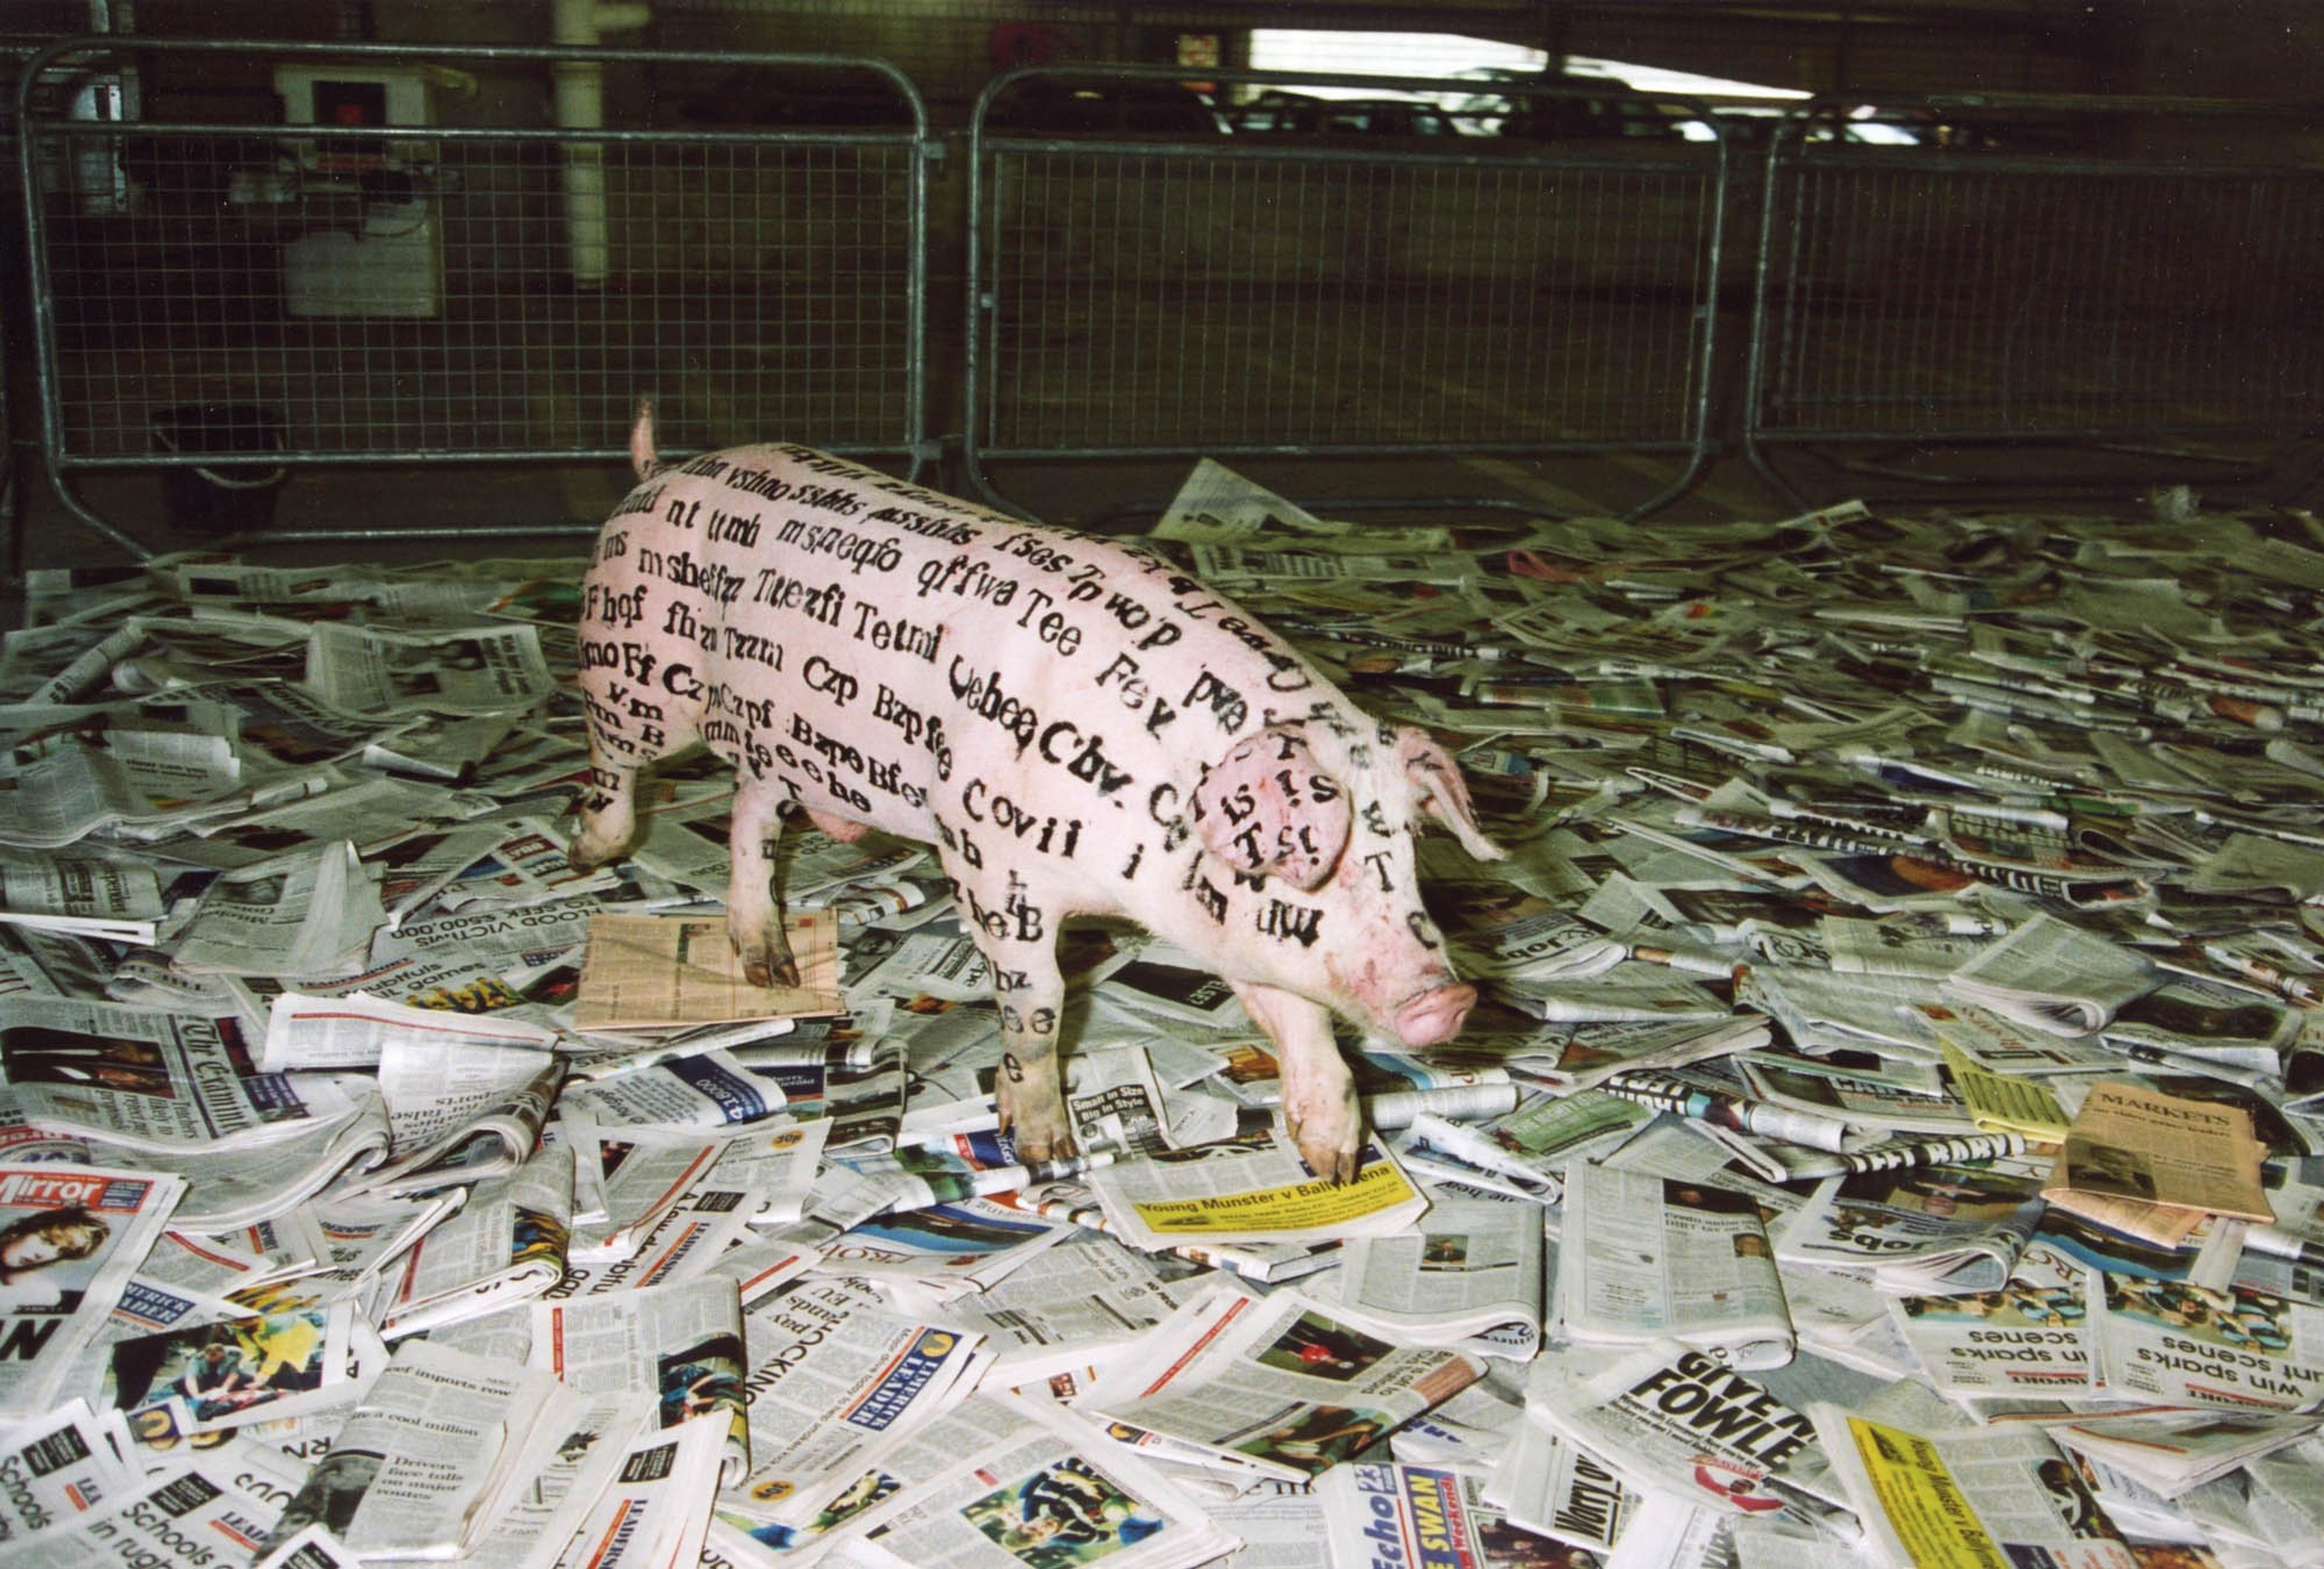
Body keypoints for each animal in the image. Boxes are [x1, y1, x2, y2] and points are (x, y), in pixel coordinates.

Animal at [571, 404, 1496, 1180]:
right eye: (1318, 857)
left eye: (1407, 856)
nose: (1451, 998)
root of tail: (660, 473)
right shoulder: (991, 867)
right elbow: (1039, 1006)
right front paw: (1049, 1154)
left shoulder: (1244, 935)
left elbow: (1299, 1018)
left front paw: (1333, 1165)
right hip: (636, 674)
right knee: (616, 759)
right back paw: (591, 850)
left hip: (776, 741)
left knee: (752, 811)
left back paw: (770, 970)